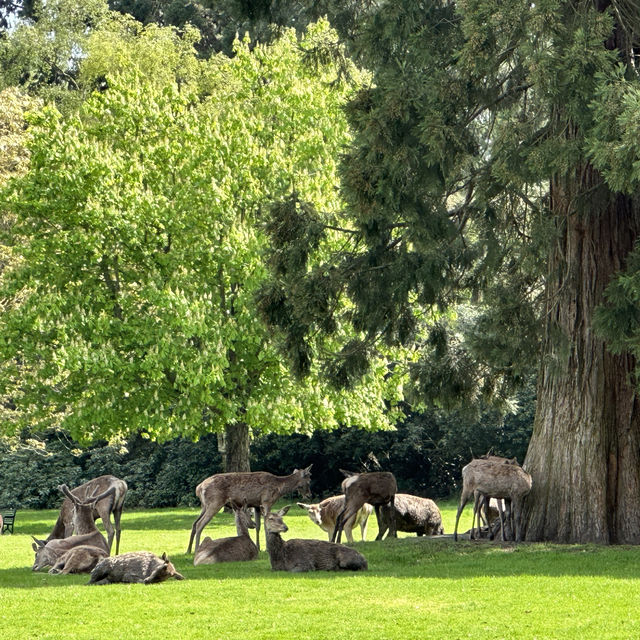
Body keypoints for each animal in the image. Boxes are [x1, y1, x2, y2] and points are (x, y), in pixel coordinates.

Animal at [186, 464, 314, 556]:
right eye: (309, 480)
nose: (309, 495)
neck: (279, 488)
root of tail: (199, 488)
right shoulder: (266, 501)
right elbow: (265, 523)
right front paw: (267, 549)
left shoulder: (256, 505)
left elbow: (258, 526)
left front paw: (259, 547)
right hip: (215, 502)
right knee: (200, 524)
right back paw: (196, 549)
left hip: (204, 505)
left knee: (194, 523)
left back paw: (188, 550)